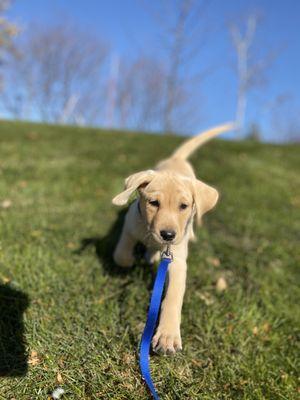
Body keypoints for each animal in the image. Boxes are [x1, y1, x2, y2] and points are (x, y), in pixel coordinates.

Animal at [112, 122, 234, 354]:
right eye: (153, 203)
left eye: (183, 206)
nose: (168, 235)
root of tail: (176, 159)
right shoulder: (131, 223)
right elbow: (122, 252)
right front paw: (128, 259)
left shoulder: (176, 260)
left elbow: (173, 297)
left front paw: (167, 336)